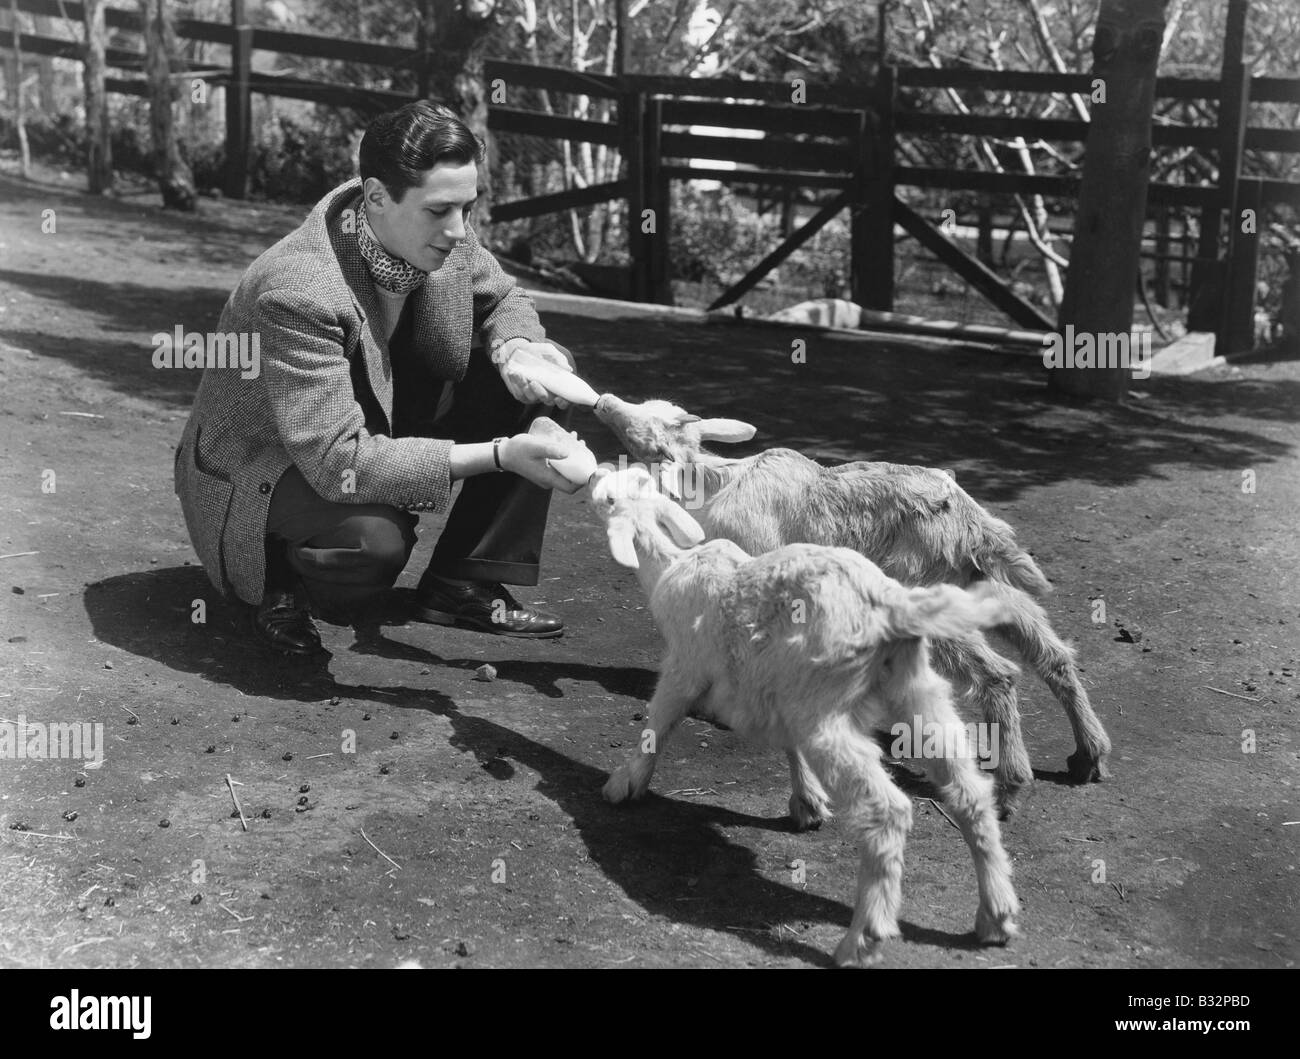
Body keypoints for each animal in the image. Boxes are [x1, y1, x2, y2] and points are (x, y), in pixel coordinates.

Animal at [592, 467, 1024, 966]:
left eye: (608, 499)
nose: (595, 472)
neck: (670, 567)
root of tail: (889, 607)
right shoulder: (778, 688)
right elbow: (788, 746)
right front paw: (808, 802)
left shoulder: (684, 667)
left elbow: (657, 723)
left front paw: (624, 783)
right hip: (918, 694)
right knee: (970, 794)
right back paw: (995, 916)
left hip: (828, 709)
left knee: (889, 812)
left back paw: (862, 939)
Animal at [595, 392, 1112, 816]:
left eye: (645, 434)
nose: (603, 402)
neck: (715, 485)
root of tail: (976, 527)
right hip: (983, 584)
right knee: (1051, 652)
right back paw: (1088, 755)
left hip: (923, 594)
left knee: (999, 672)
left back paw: (1011, 785)